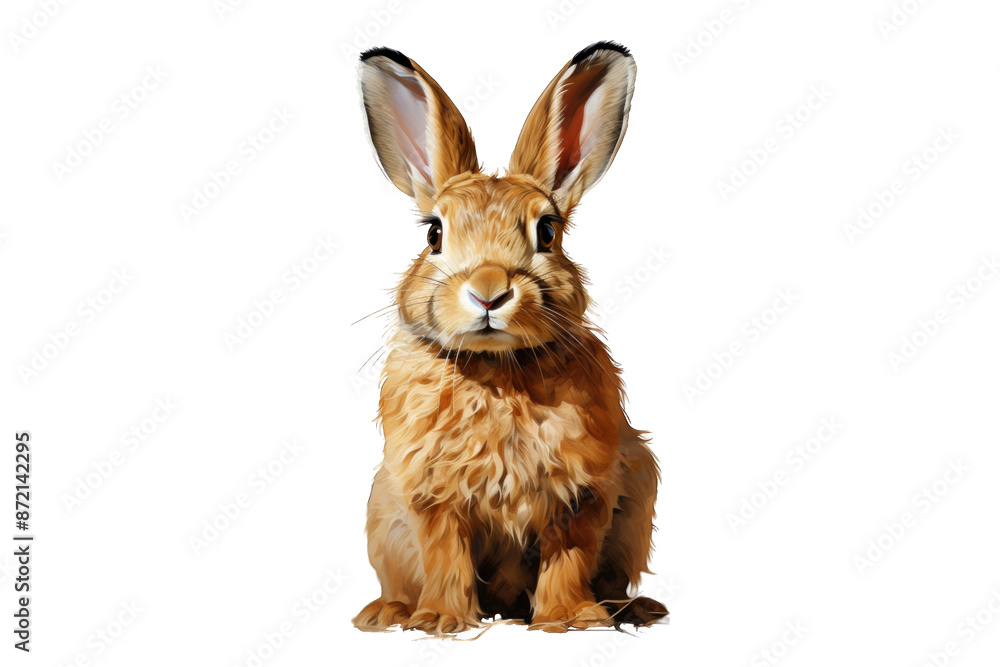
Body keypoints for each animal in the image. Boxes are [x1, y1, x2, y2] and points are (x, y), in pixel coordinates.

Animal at [352, 41, 665, 635]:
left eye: (547, 232)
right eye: (434, 234)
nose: (490, 290)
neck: (496, 368)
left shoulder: (581, 494)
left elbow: (568, 556)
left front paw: (570, 619)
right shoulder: (434, 497)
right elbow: (446, 556)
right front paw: (440, 621)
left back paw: (635, 609)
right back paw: (386, 612)